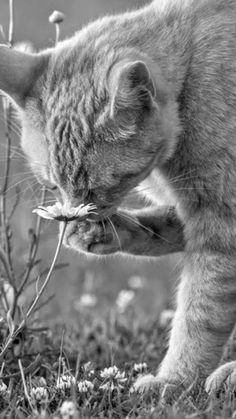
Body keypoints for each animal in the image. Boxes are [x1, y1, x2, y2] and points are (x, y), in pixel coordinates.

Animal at [0, 0, 236, 400]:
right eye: (53, 186)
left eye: (98, 187)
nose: (74, 214)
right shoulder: (191, 212)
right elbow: (158, 230)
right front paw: (101, 233)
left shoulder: (221, 224)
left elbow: (200, 311)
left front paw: (176, 379)